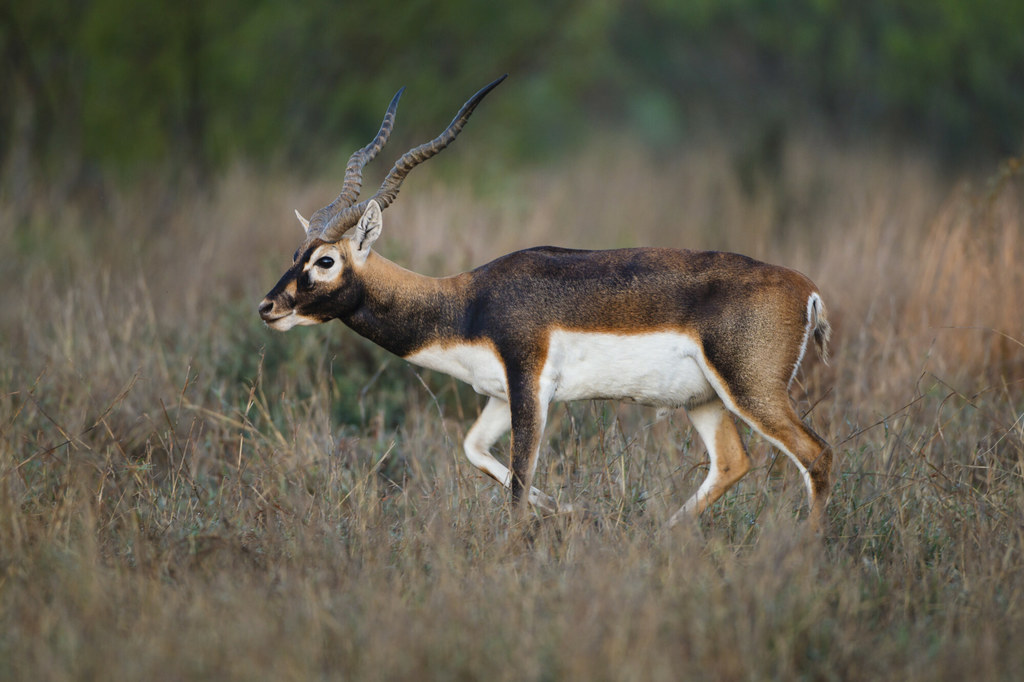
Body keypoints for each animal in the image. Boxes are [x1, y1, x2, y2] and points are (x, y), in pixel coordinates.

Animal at [260, 76, 835, 528]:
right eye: (295, 253)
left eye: (325, 261)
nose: (268, 308)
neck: (466, 303)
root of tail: (806, 290)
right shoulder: (496, 395)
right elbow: (476, 452)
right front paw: (568, 509)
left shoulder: (530, 386)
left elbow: (517, 485)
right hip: (705, 400)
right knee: (733, 463)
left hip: (751, 391)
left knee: (817, 455)